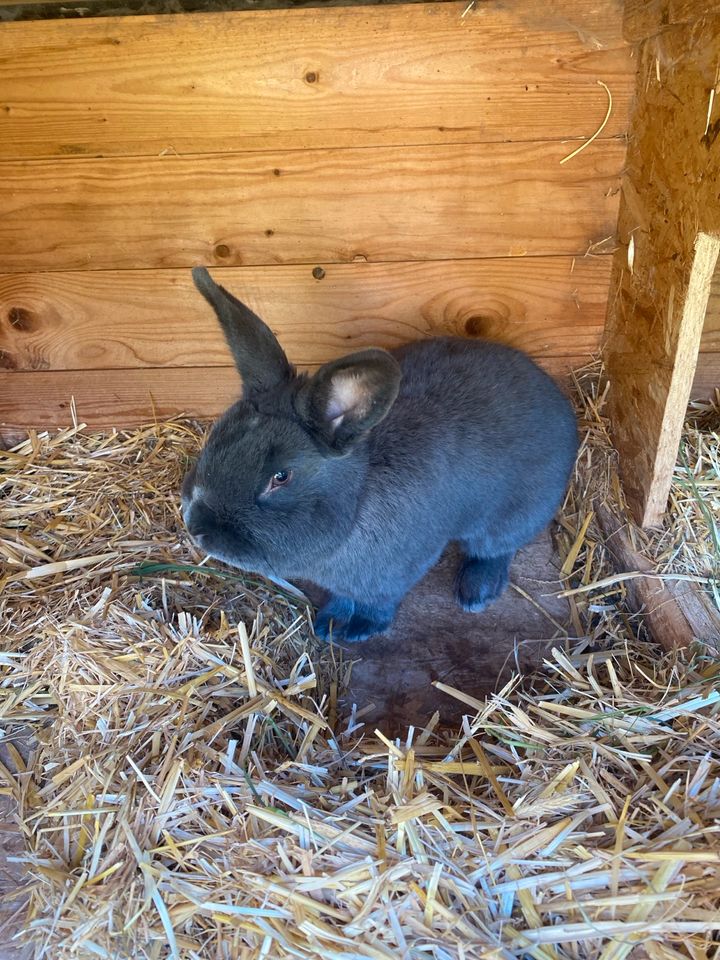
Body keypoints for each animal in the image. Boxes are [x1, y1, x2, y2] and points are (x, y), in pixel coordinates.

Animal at [181, 268, 580, 644]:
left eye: (281, 477)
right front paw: (329, 624)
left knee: (496, 548)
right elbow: (343, 597)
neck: (356, 504)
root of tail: (560, 405)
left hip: (512, 514)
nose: (197, 529)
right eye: (216, 437)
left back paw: (476, 593)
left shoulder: (396, 572)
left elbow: (379, 603)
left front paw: (360, 630)